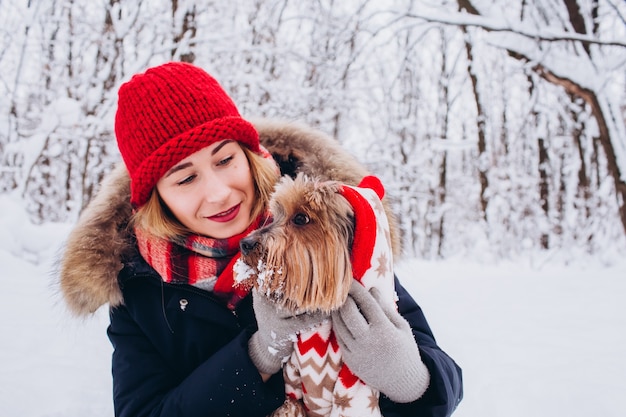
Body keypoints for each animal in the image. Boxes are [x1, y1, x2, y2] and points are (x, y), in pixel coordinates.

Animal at [234, 173, 394, 416]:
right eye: (275, 216)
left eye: (301, 218)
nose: (245, 243)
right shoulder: (292, 381)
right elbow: (289, 405)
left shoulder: (355, 392)